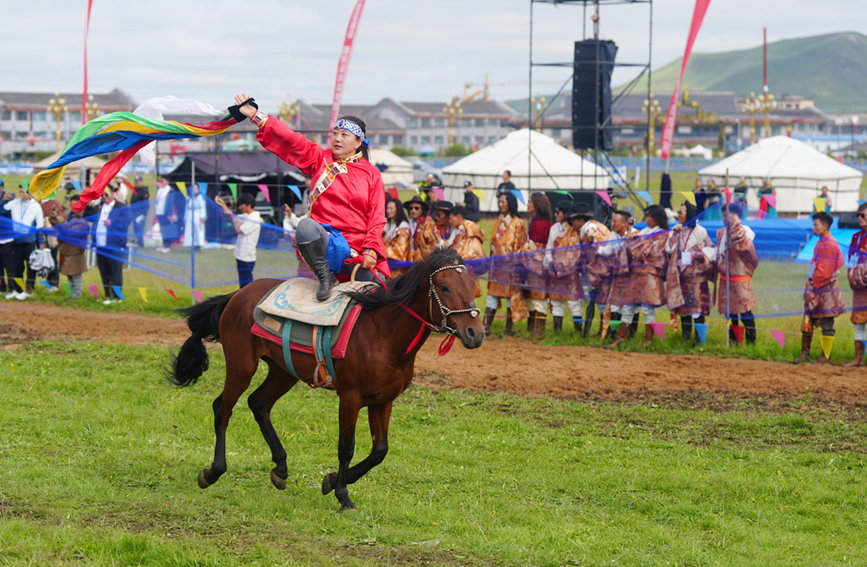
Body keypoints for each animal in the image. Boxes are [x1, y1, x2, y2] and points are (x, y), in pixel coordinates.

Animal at [167, 248, 485, 512]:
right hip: (241, 366)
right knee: (223, 408)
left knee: (258, 404)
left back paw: (280, 468)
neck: (382, 333)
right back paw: (213, 471)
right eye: (444, 287)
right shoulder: (350, 397)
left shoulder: (383, 401)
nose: (475, 333)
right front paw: (343, 495)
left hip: (283, 371)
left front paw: (332, 481)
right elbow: (346, 447)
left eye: (472, 288)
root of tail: (238, 293)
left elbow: (379, 451)